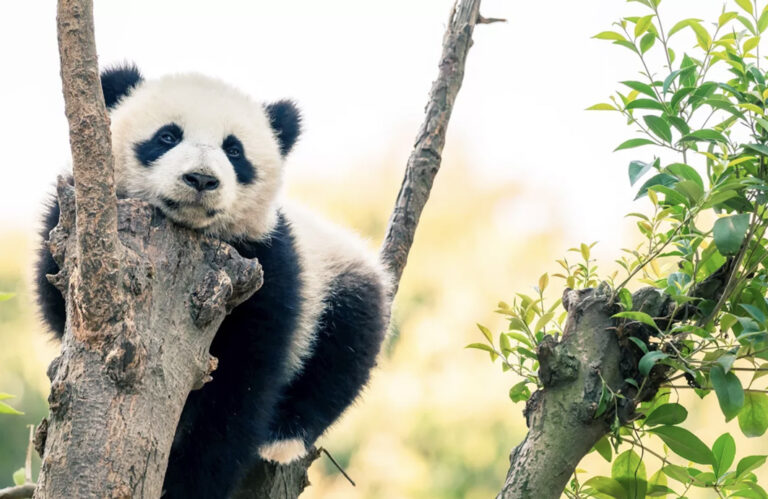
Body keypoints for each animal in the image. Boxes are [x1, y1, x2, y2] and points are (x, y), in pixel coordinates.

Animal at [35, 64, 391, 499]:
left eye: (234, 150)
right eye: (167, 136)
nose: (202, 179)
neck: (190, 232)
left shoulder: (268, 267)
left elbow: (239, 390)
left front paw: (185, 483)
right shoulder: (75, 234)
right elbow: (57, 298)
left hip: (337, 275)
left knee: (344, 347)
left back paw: (284, 436)